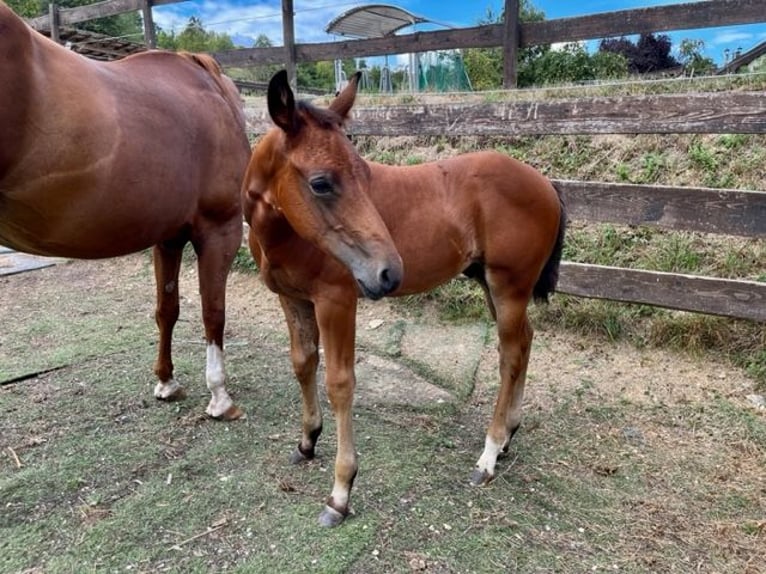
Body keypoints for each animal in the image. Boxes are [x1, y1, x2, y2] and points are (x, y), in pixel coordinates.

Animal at [0, 2, 250, 420]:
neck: (213, 94)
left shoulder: (168, 237)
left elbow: (167, 309)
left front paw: (166, 381)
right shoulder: (220, 230)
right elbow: (213, 312)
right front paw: (220, 396)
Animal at [243, 70, 568, 528]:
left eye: (364, 172)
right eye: (321, 182)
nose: (389, 272)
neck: (285, 236)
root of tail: (545, 184)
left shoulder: (336, 302)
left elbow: (340, 382)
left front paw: (340, 492)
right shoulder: (292, 299)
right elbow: (303, 363)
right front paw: (307, 441)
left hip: (509, 287)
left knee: (510, 354)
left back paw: (488, 453)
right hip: (494, 286)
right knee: (525, 341)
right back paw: (507, 437)